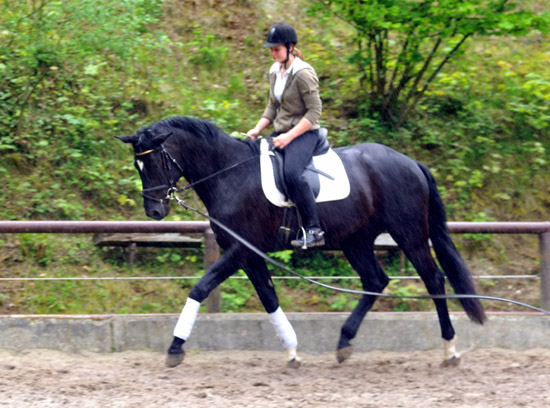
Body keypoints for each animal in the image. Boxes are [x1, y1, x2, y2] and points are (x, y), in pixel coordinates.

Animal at [119, 116, 488, 368]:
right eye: (138, 164)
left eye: (153, 161)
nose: (154, 211)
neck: (229, 174)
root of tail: (411, 162)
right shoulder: (248, 254)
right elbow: (268, 298)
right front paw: (292, 350)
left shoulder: (240, 249)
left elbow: (200, 287)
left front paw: (175, 348)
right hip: (356, 241)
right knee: (375, 281)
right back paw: (344, 342)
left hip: (408, 235)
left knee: (433, 279)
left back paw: (450, 349)